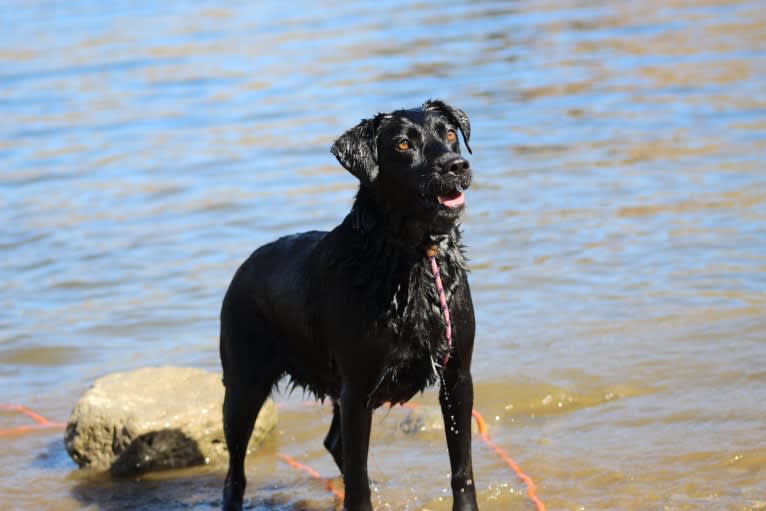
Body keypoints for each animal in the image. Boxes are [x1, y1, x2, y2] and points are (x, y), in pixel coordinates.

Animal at [219, 101, 476, 511]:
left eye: (450, 133)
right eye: (403, 144)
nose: (456, 165)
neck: (411, 261)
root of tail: (244, 265)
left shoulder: (457, 375)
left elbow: (462, 468)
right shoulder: (357, 391)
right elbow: (358, 482)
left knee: (333, 443)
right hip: (243, 384)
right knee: (235, 473)